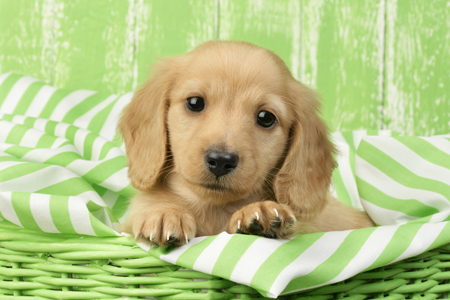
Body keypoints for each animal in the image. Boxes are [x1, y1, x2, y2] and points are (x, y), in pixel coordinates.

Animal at [118, 40, 372, 246]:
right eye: (194, 102)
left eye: (266, 118)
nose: (221, 161)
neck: (213, 209)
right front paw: (163, 213)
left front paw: (260, 211)